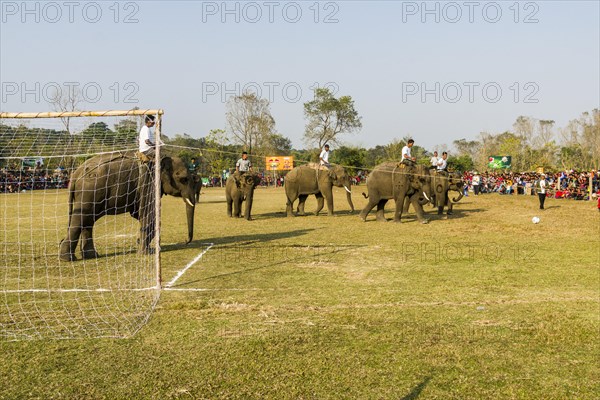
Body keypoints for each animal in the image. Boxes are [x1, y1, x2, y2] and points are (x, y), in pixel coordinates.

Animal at [58, 152, 196, 260]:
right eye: (184, 179)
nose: (185, 241)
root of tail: (75, 175)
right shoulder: (148, 184)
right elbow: (148, 214)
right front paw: (146, 253)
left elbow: (139, 215)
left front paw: (144, 246)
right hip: (90, 192)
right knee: (80, 219)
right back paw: (67, 258)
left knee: (87, 221)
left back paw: (91, 256)